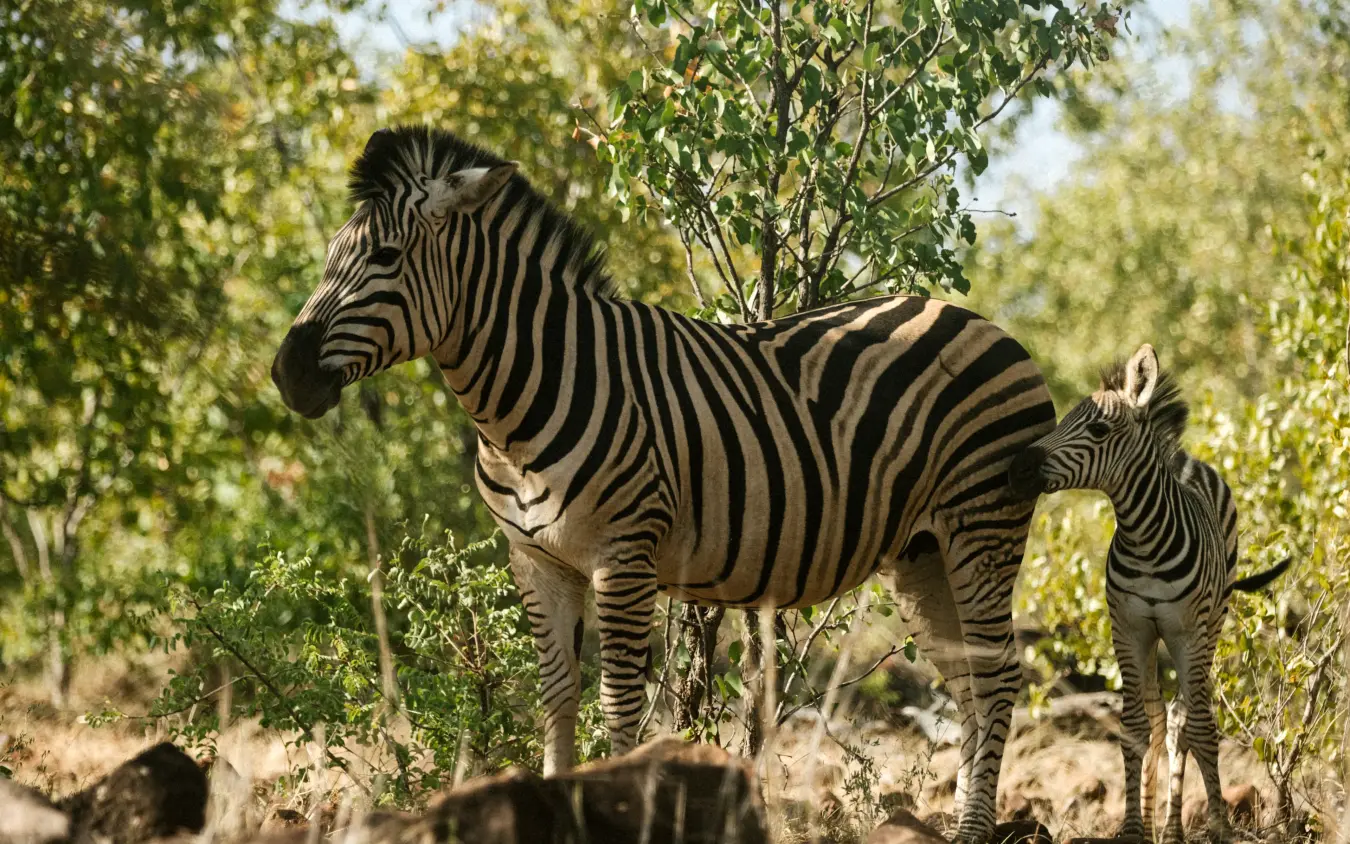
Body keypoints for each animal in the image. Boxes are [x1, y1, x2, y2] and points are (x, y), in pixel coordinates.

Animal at [270, 125, 1058, 841]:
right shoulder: (537, 560)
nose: (287, 374)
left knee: (998, 678)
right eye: (330, 256)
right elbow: (558, 697)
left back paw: (974, 830)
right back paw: (963, 824)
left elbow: (619, 703)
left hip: (982, 526)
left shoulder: (625, 556)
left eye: (384, 257)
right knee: (967, 683)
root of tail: (981, 320)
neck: (522, 407)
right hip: (922, 552)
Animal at [1008, 343, 1289, 843]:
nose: (1017, 468)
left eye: (1098, 429)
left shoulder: (1187, 633)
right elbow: (1136, 726)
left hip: (1211, 626)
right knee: (1162, 716)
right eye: (1063, 419)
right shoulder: (1128, 628)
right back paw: (1158, 818)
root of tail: (1184, 457)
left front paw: (1216, 825)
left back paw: (1178, 826)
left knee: (1183, 719)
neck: (1145, 540)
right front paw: (1134, 826)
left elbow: (1197, 726)